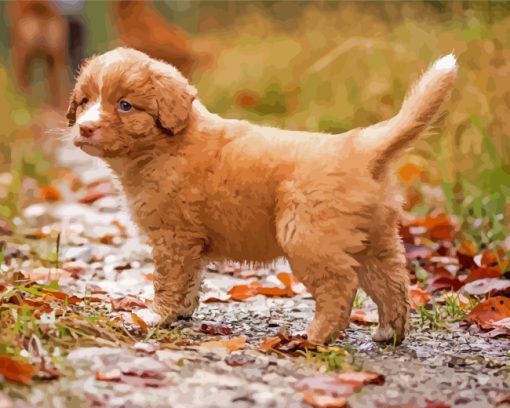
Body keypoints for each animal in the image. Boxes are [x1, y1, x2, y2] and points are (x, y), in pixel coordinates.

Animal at [65, 49, 456, 346]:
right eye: (84, 101)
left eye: (125, 105)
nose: (84, 127)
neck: (165, 146)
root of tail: (359, 147)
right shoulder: (191, 243)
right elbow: (190, 280)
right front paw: (182, 312)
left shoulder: (173, 238)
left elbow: (168, 280)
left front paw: (155, 315)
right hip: (375, 240)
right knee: (393, 283)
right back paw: (389, 333)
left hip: (308, 238)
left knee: (340, 287)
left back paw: (315, 337)